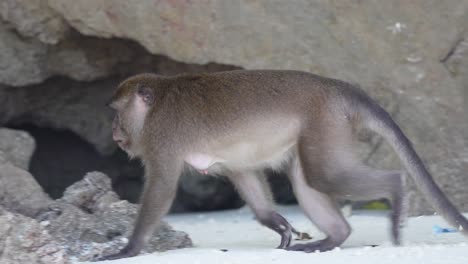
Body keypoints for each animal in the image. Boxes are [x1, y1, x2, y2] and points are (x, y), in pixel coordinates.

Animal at [101, 69, 468, 260]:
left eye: (117, 112)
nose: (115, 130)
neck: (155, 105)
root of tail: (342, 90)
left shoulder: (161, 140)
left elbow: (162, 188)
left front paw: (129, 248)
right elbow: (244, 174)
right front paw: (275, 222)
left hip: (325, 123)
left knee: (326, 176)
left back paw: (396, 188)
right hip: (323, 129)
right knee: (307, 181)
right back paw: (333, 238)